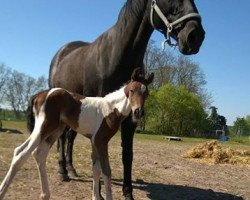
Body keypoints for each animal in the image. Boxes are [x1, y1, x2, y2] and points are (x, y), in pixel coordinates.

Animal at [0, 68, 153, 199]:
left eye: (147, 93)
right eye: (132, 90)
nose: (138, 112)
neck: (111, 109)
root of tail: (39, 95)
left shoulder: (94, 141)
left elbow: (96, 168)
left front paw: (95, 197)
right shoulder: (101, 141)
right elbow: (106, 170)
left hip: (55, 130)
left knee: (39, 154)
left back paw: (45, 195)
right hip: (43, 128)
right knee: (20, 152)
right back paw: (3, 191)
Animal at [48, 0, 205, 199]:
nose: (195, 36)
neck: (116, 55)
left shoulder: (130, 118)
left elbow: (127, 155)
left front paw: (127, 192)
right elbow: (98, 158)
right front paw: (99, 192)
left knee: (70, 137)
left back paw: (71, 169)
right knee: (62, 138)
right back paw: (63, 172)